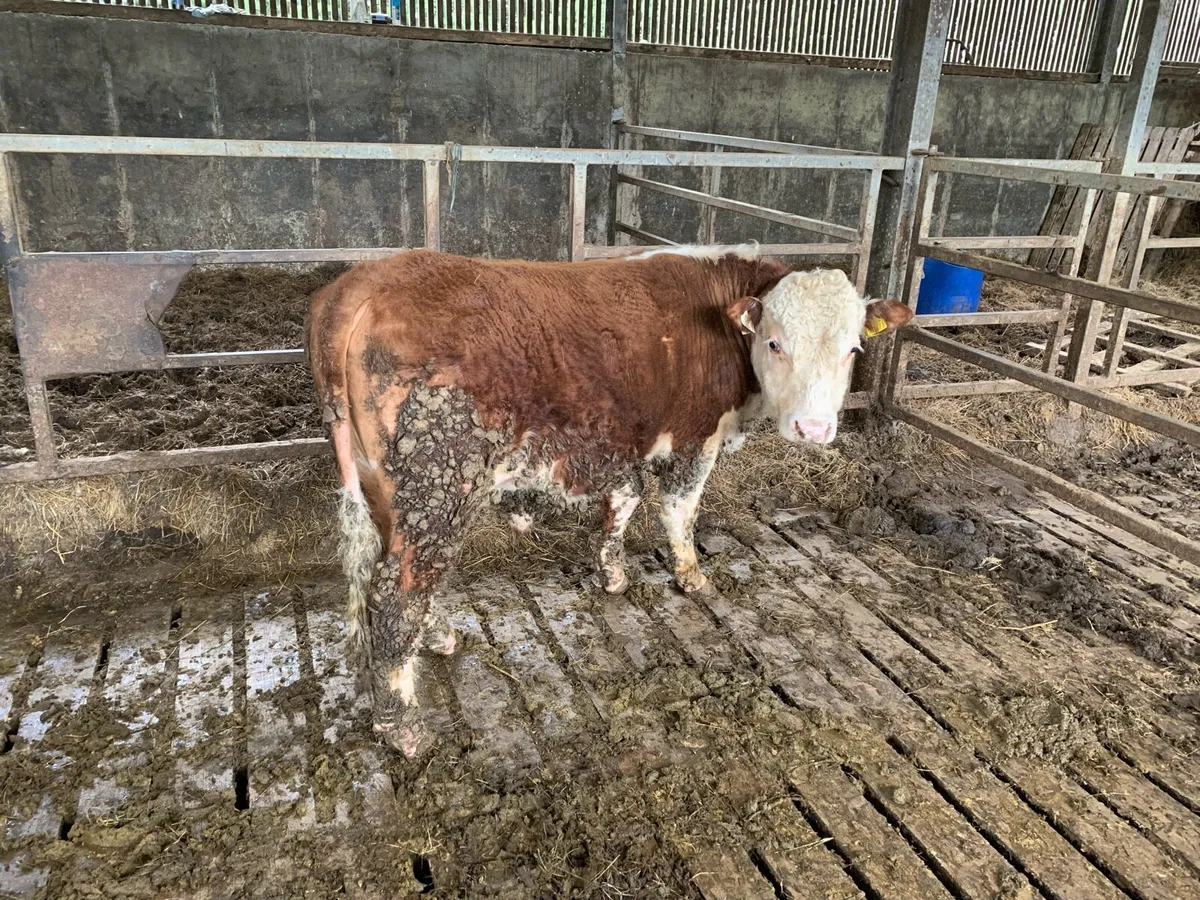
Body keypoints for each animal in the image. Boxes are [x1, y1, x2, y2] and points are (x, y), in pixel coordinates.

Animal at [306, 244, 912, 756]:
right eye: (774, 342)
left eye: (853, 348)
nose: (814, 429)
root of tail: (363, 281)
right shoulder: (696, 437)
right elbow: (679, 508)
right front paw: (691, 575)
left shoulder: (627, 440)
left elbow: (624, 501)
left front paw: (612, 572)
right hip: (436, 484)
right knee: (398, 591)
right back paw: (403, 727)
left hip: (386, 487)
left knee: (402, 577)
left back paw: (437, 636)